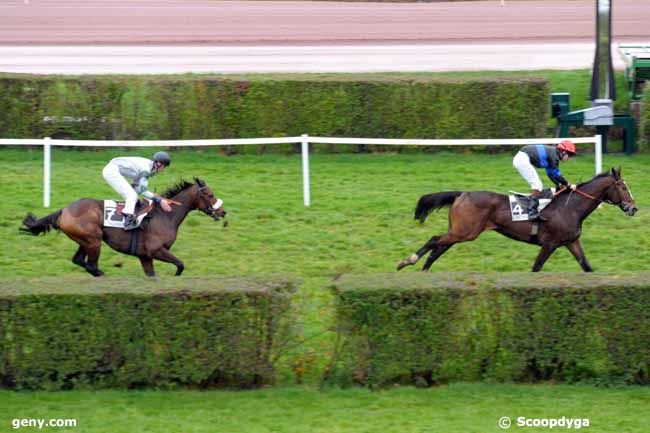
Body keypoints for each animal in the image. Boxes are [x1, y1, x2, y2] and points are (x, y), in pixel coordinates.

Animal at [20, 178, 227, 276]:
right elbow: (180, 265)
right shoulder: (155, 250)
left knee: (79, 260)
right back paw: (102, 274)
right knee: (92, 266)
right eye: (209, 194)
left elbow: (153, 275)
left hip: (85, 241)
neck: (165, 216)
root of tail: (65, 209)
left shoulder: (145, 256)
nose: (223, 212)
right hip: (94, 241)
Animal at [398, 168, 636, 272]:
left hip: (460, 232)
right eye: (623, 187)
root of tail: (462, 193)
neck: (571, 207)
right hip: (464, 232)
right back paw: (408, 261)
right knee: (434, 240)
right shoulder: (549, 244)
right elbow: (536, 267)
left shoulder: (571, 242)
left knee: (438, 247)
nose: (634, 207)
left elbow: (586, 266)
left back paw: (424, 270)